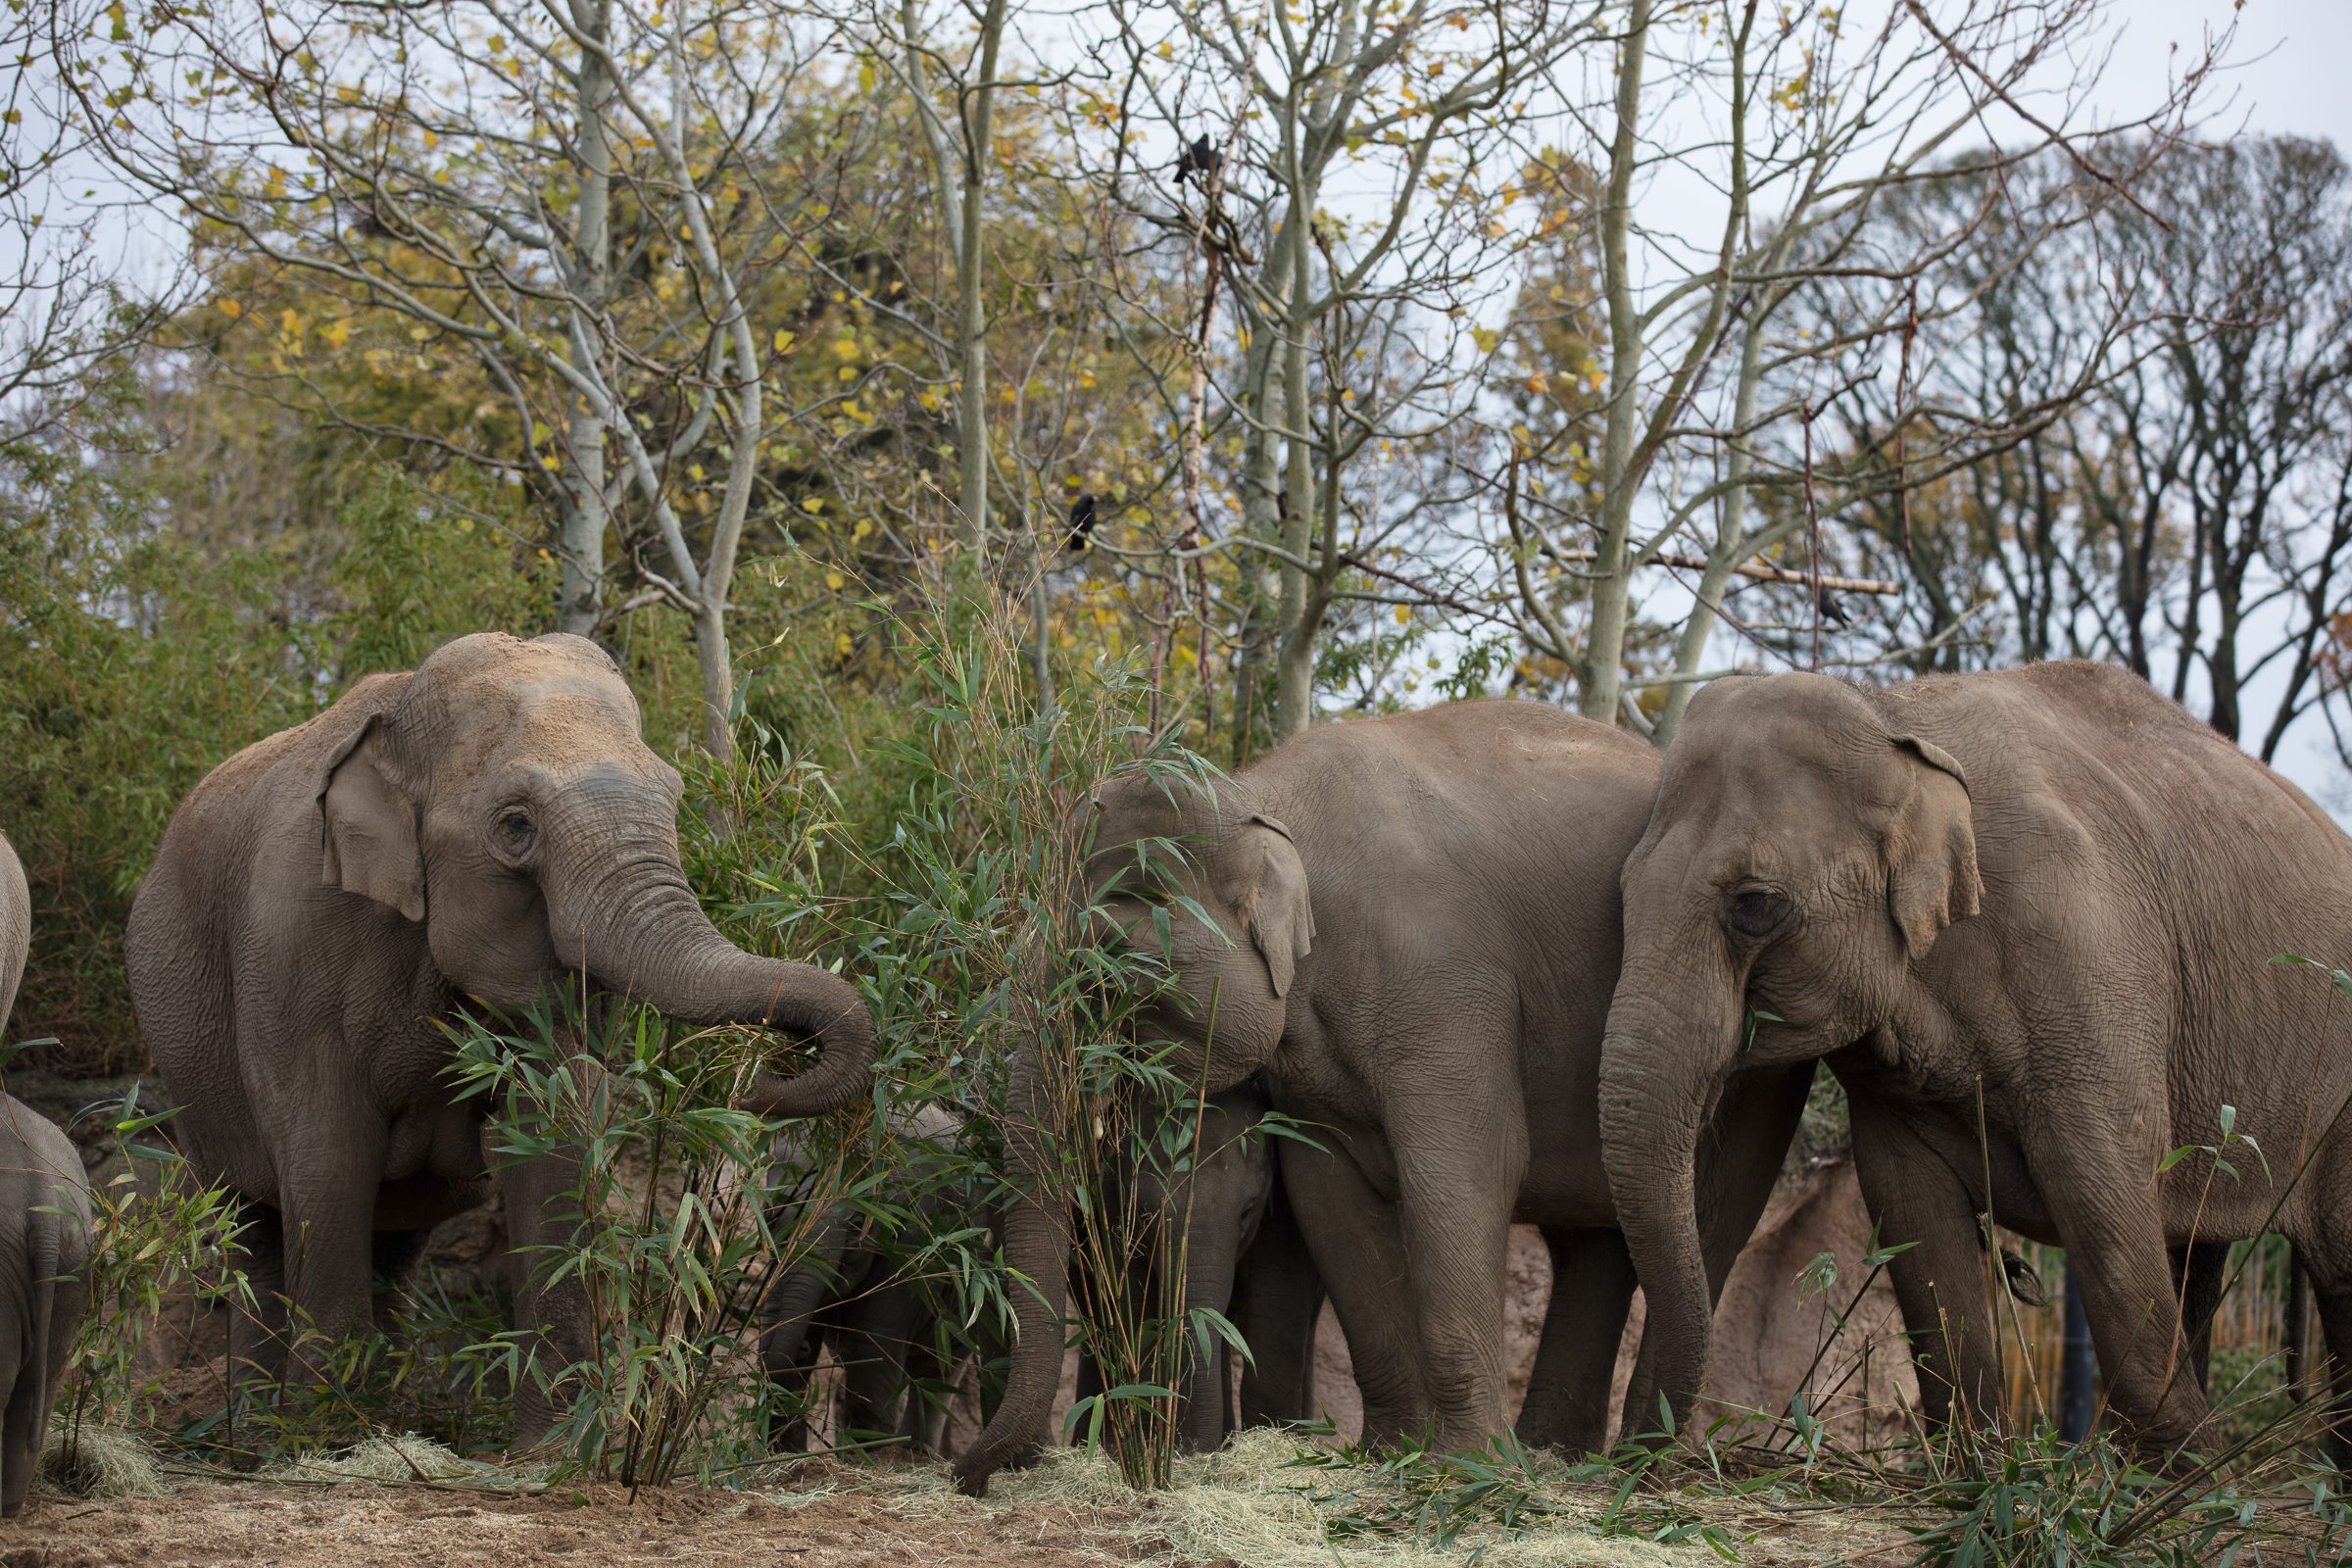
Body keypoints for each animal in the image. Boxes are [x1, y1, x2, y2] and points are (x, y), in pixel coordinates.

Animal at [124, 632, 876, 1445]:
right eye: (516, 825)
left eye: (675, 797)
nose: (768, 1068)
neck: (398, 731)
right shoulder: (292, 951)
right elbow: (328, 1159)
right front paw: (324, 1441)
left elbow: (551, 1138)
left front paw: (548, 1452)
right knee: (256, 1222)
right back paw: (267, 1434)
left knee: (390, 1236)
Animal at [955, 700, 1813, 1492]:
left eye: (1106, 973)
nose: (972, 1475)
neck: (1263, 796)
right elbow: (1329, 1193)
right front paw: (1390, 1455)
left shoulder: (1442, 979)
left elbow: (1467, 1169)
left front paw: (1474, 1471)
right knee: (1595, 1244)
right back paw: (1562, 1457)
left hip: (1757, 1059)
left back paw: (1598, 1460)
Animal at [1599, 660, 2352, 1459]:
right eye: (1622, 891)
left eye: (1755, 905)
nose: (1633, 1456)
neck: (1892, 716)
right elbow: (1909, 1204)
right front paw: (1984, 1469)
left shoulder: (2088, 961)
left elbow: (2102, 1185)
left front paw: (2193, 1478)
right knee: (2200, 1257)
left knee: (2335, 1262)